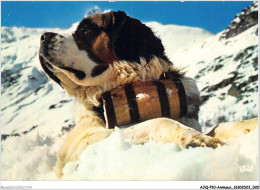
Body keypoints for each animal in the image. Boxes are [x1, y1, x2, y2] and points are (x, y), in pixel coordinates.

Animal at [38, 11, 258, 177]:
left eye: (86, 29)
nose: (43, 36)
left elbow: (222, 125)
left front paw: (249, 125)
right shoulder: (82, 142)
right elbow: (158, 121)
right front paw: (197, 139)